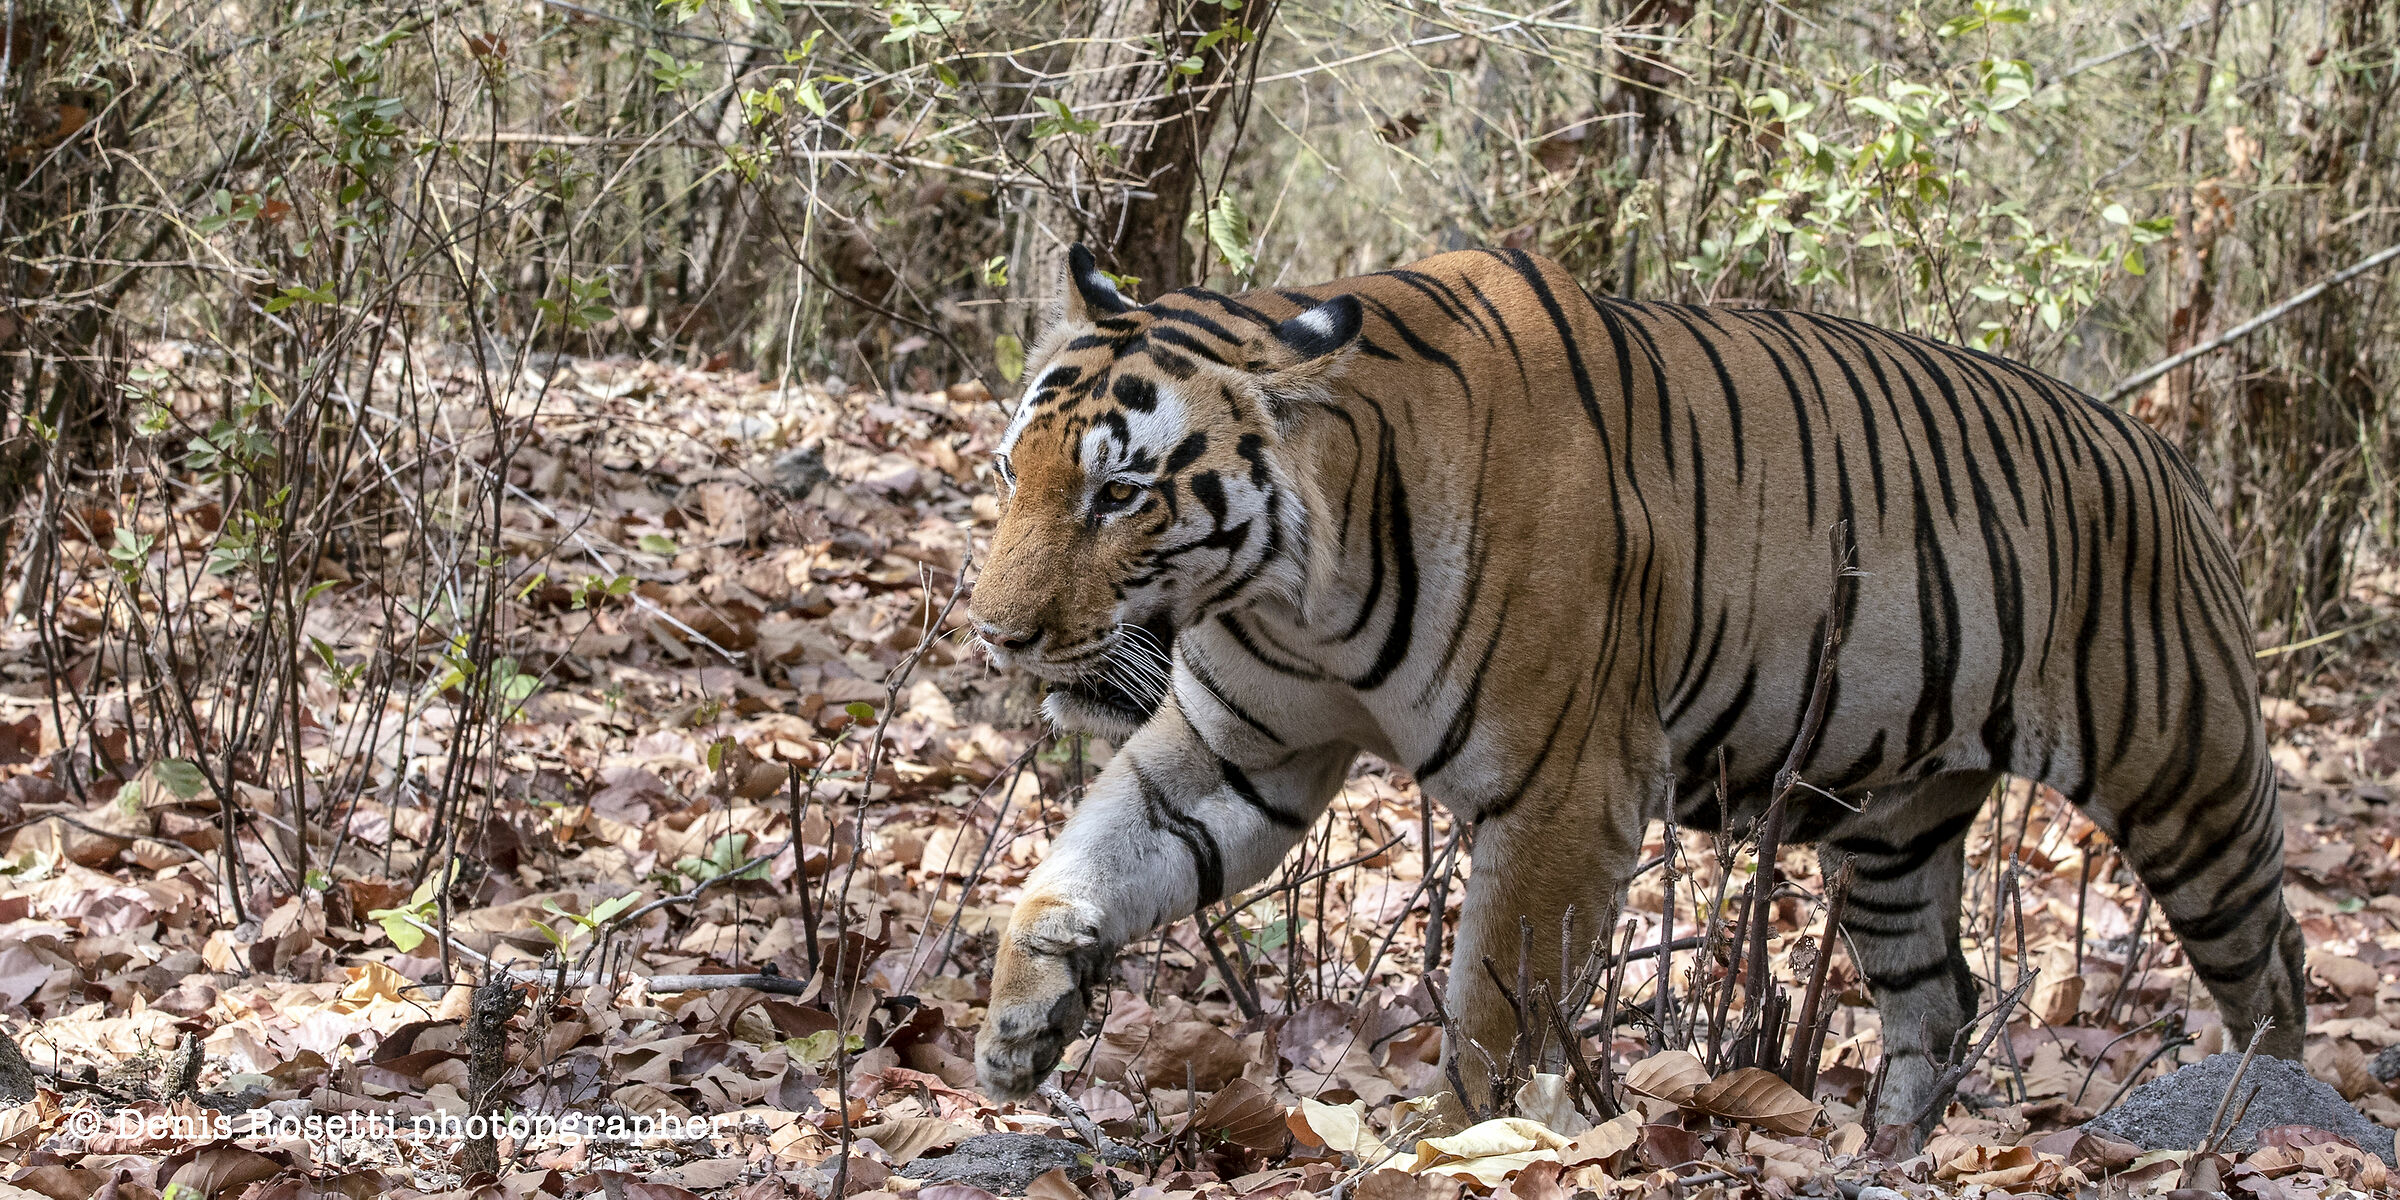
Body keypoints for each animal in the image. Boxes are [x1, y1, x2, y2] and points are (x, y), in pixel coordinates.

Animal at [964, 243, 2305, 1131]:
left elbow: (1494, 1013)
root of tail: (2167, 454)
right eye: (1015, 471)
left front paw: (1443, 1149)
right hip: (1892, 826)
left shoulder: (1566, 793)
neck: (1297, 585)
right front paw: (1020, 1026)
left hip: (2189, 785)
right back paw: (1890, 1154)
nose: (997, 635)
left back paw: (2254, 1116)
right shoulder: (1245, 752)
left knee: (2272, 964)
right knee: (1941, 1000)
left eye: (1120, 495)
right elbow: (1081, 863)